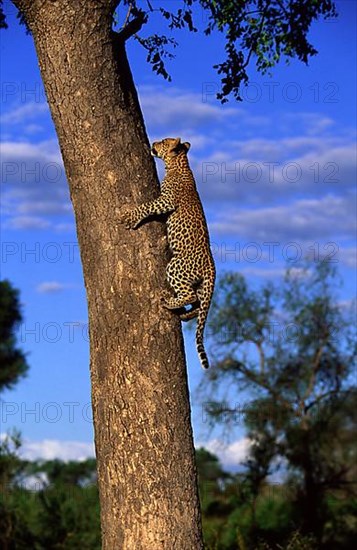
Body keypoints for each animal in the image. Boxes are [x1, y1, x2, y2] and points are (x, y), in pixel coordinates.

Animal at [118, 136, 216, 374]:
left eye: (163, 141)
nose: (153, 142)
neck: (179, 163)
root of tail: (212, 267)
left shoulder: (165, 201)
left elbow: (146, 206)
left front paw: (130, 217)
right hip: (199, 285)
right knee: (197, 305)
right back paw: (183, 313)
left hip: (176, 265)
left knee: (190, 296)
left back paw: (167, 302)